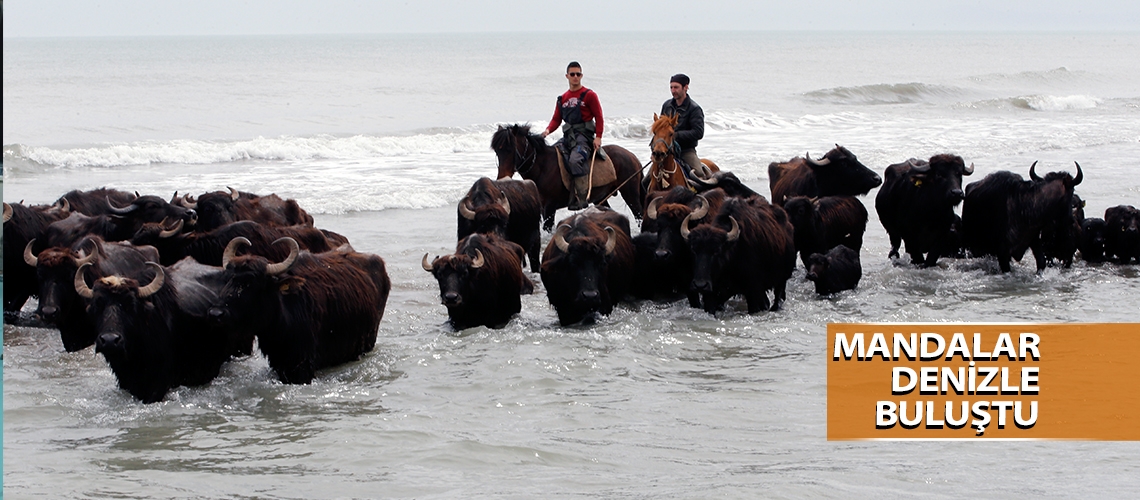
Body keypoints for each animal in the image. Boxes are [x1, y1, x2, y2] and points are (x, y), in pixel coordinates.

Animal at [494, 124, 647, 232]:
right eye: (497, 151)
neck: (543, 167)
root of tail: (632, 156)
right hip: (602, 197)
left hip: (630, 193)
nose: (502, 177)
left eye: (511, 149)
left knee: (639, 214)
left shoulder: (549, 208)